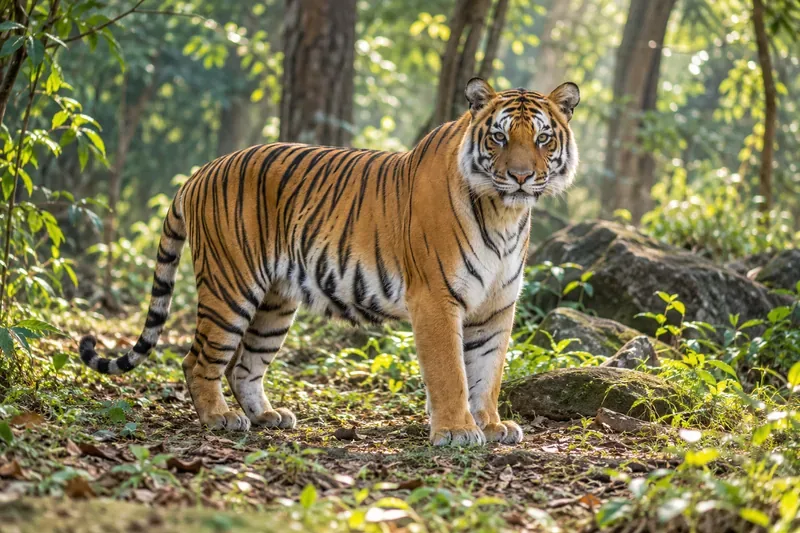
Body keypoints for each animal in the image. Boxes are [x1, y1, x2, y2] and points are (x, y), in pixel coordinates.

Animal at [79, 77, 580, 446]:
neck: (505, 214)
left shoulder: (496, 306)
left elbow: (488, 371)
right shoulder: (436, 300)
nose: (521, 176)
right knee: (197, 360)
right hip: (230, 288)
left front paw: (491, 425)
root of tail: (200, 171)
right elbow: (451, 372)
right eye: (498, 137)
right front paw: (457, 432)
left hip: (275, 303)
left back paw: (268, 416)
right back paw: (220, 419)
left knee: (244, 366)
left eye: (542, 138)